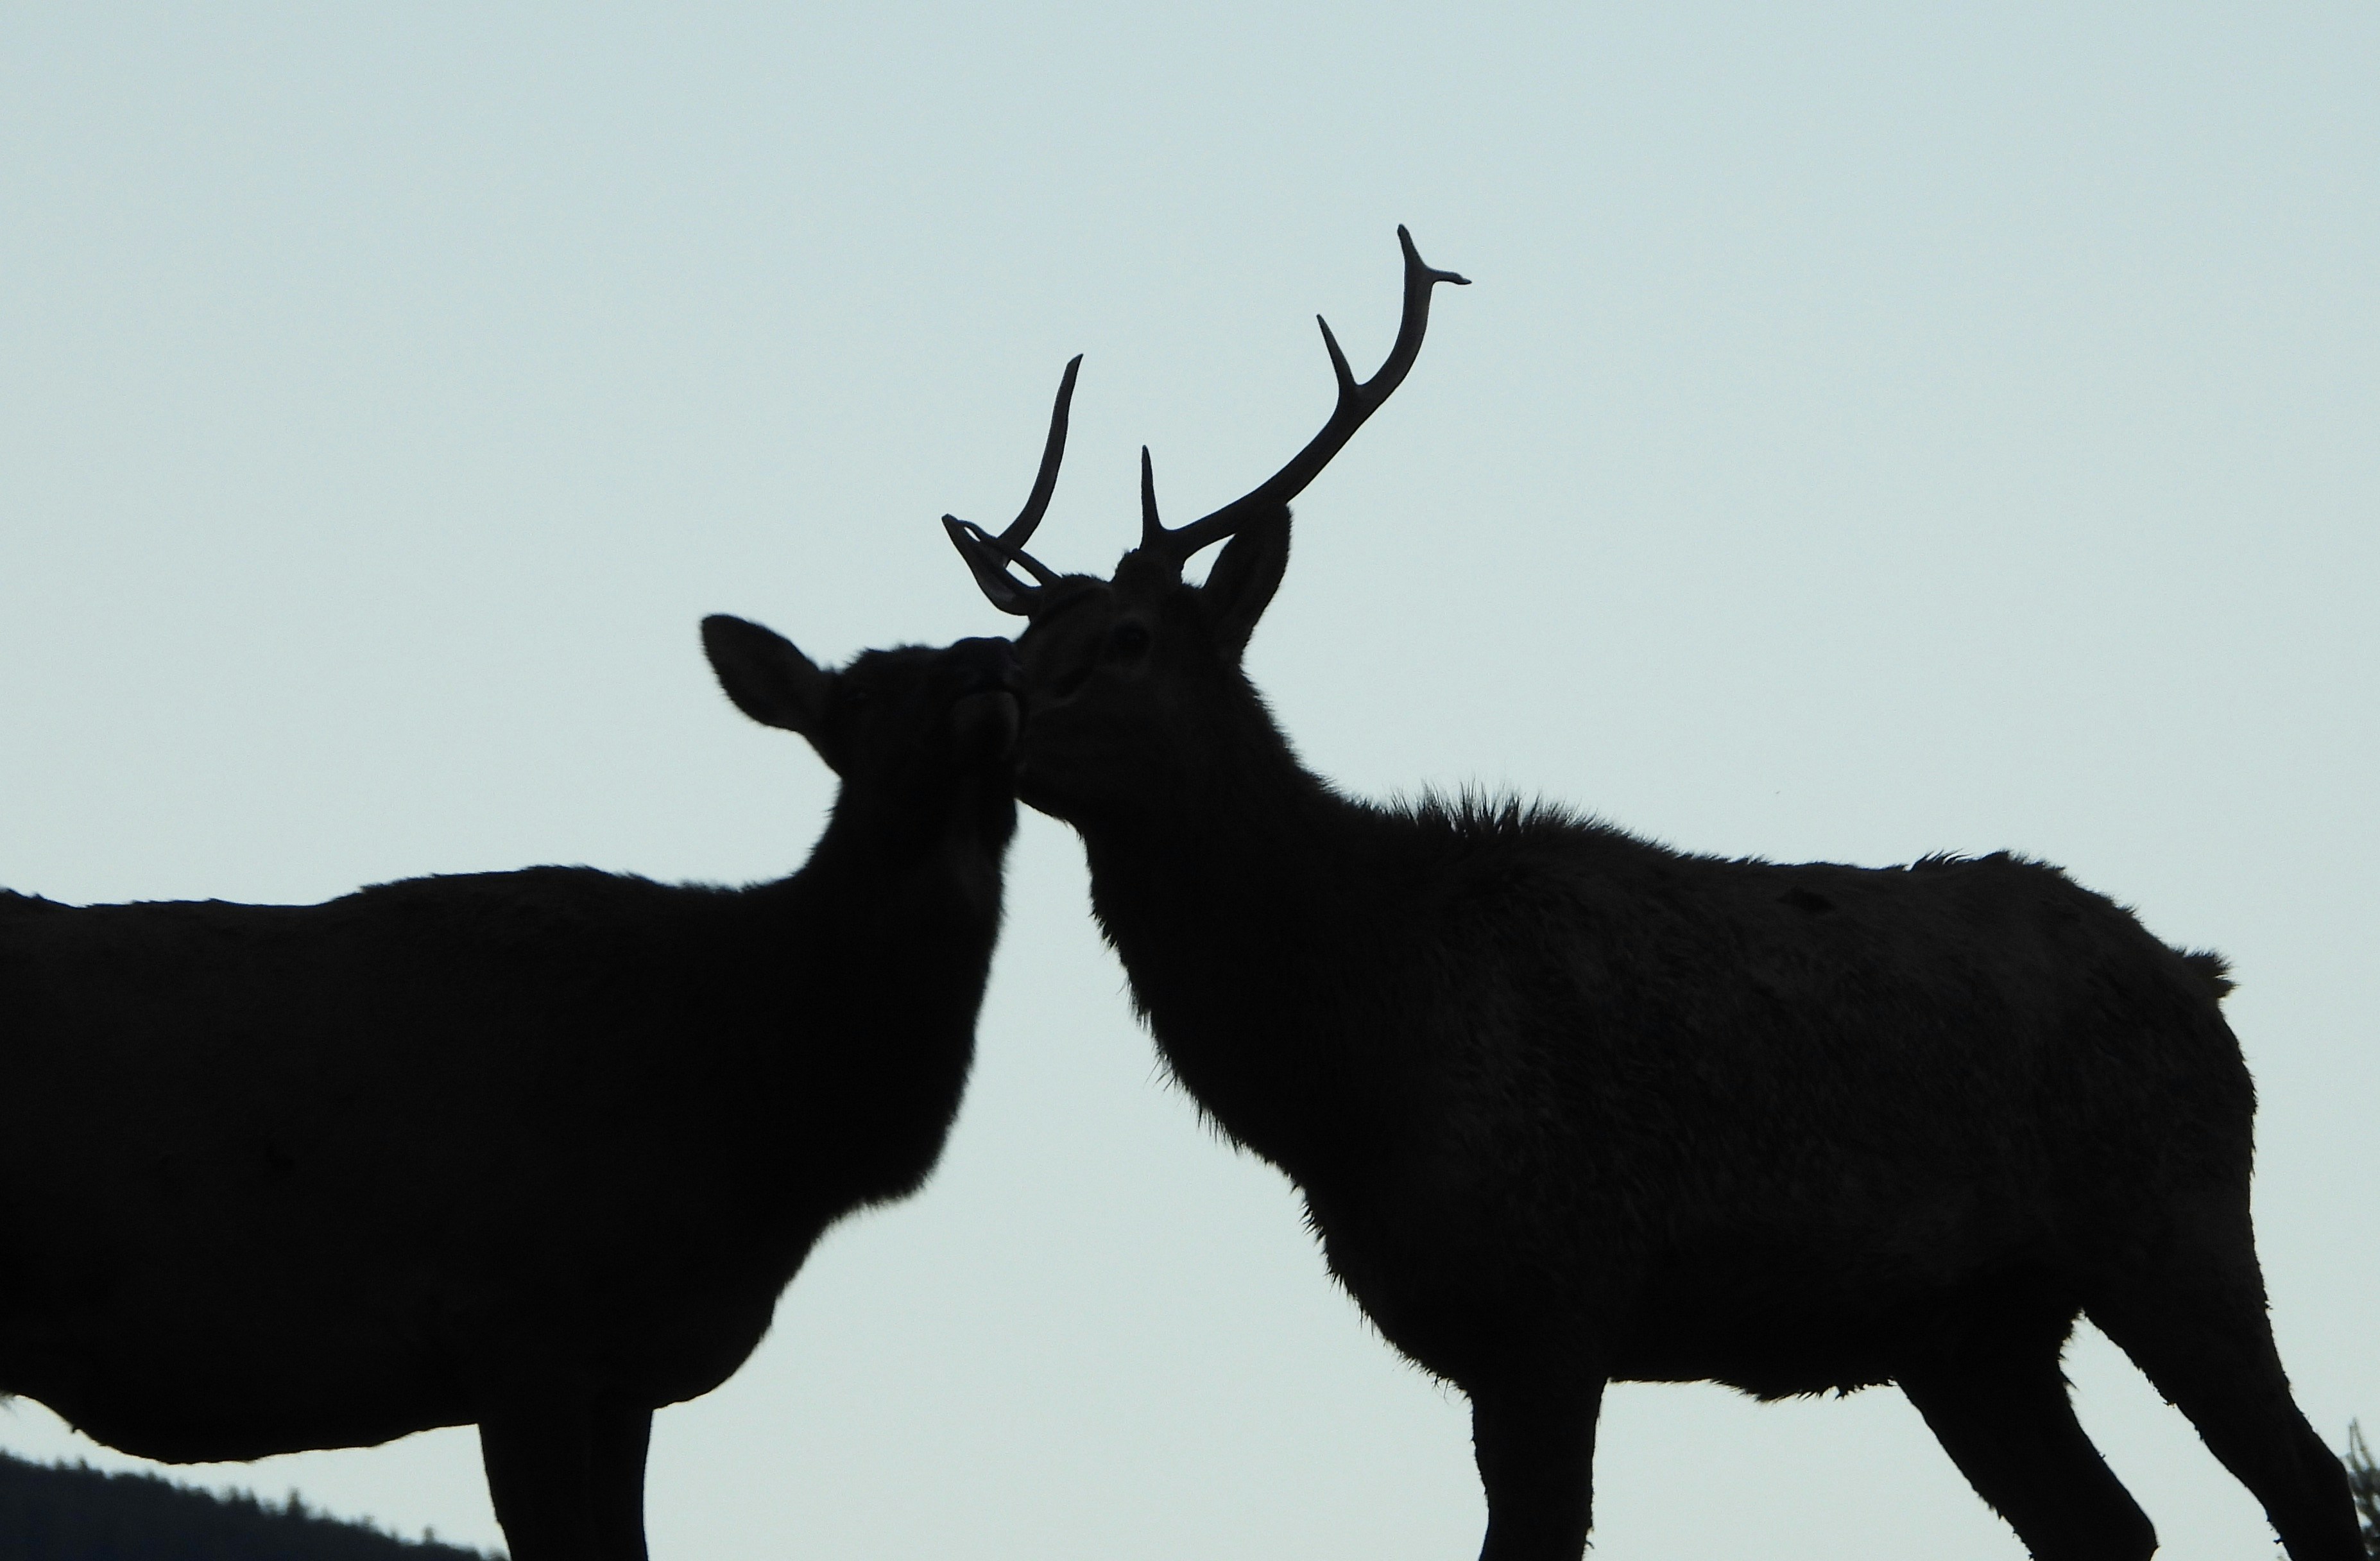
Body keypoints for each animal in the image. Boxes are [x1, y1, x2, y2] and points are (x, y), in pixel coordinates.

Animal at [942, 228, 2363, 1561]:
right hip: (1972, 1331)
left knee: (2306, 1476)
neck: (1350, 1076)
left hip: (2171, 1218)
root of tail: (2202, 983)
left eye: (1127, 642)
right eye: (1023, 639)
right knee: (2106, 1521)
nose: (981, 715)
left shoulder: (1554, 1289)